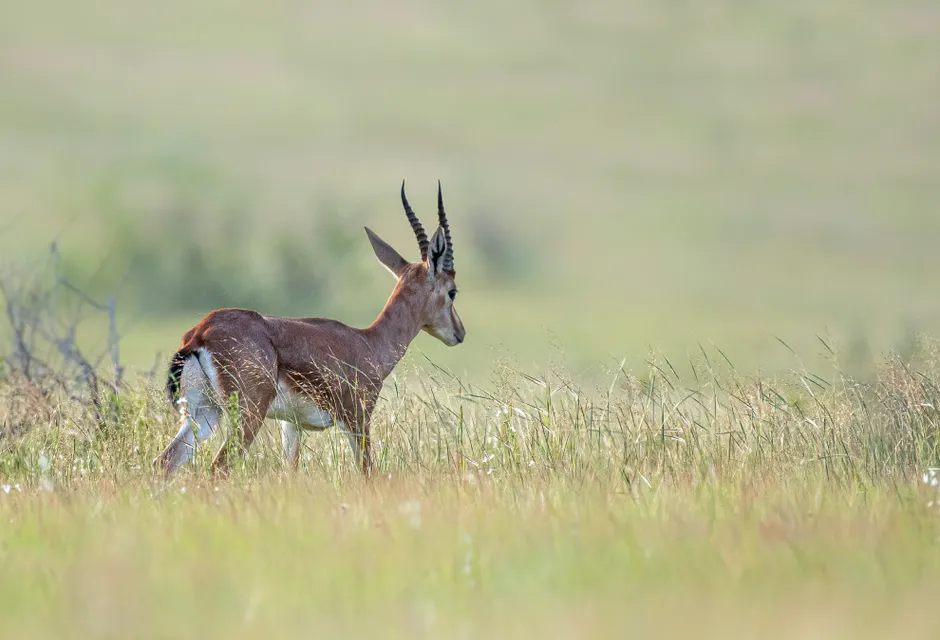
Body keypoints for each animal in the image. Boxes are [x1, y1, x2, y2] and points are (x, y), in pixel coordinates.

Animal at [153, 181, 465, 477]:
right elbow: (368, 473)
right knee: (218, 466)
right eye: (452, 291)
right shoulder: (358, 419)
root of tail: (200, 333)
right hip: (245, 417)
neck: (368, 344)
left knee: (165, 462)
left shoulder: (291, 425)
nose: (460, 333)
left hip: (204, 416)